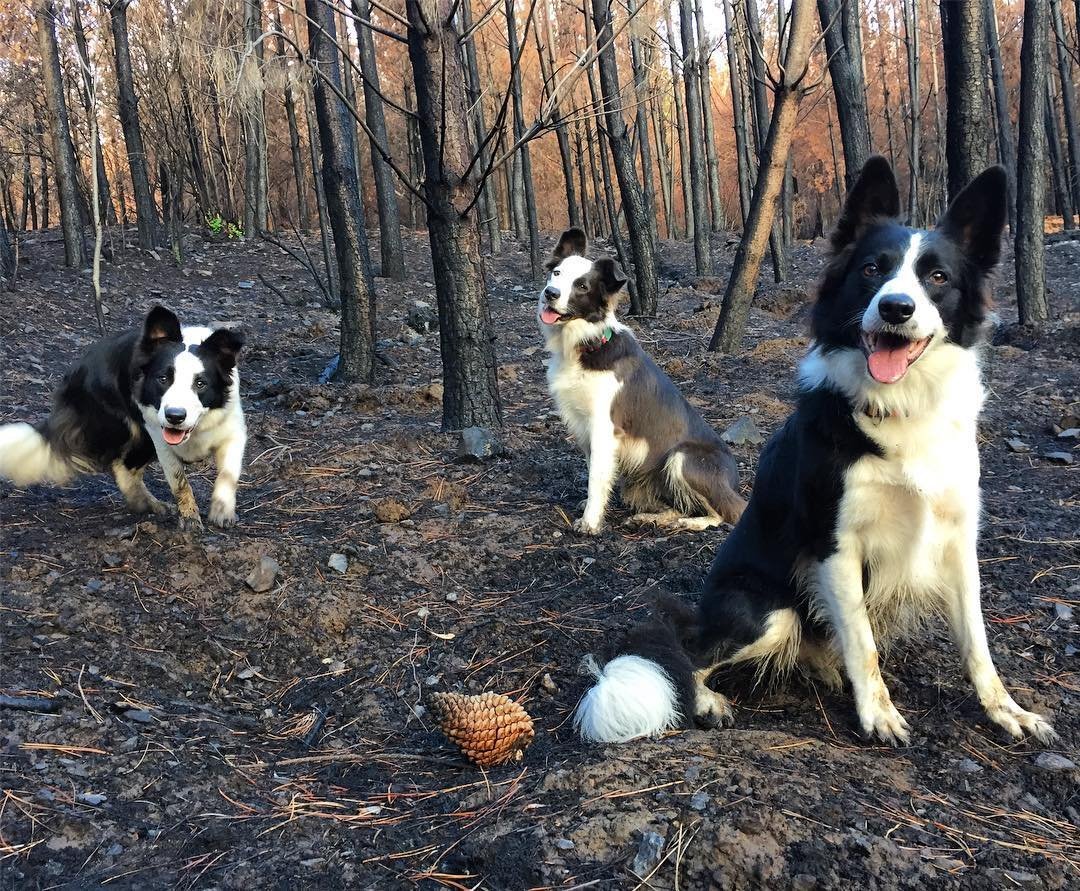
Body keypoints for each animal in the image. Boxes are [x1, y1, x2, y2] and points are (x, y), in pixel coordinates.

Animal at [0, 306, 247, 529]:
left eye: (200, 383)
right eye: (163, 379)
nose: (175, 416)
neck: (194, 429)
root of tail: (76, 372)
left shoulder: (233, 433)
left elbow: (228, 474)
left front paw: (222, 510)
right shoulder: (160, 439)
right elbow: (179, 481)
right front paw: (189, 517)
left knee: (127, 466)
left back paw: (146, 503)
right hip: (129, 428)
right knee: (121, 465)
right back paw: (146, 503)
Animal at [537, 231, 743, 535]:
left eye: (582, 286)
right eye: (556, 273)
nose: (550, 294)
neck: (587, 345)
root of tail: (734, 478)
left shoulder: (604, 427)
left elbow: (596, 477)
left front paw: (590, 522)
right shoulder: (583, 425)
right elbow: (595, 471)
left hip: (681, 457)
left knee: (727, 512)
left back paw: (690, 522)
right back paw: (652, 517)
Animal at [574, 157, 1054, 743]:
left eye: (938, 277)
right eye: (872, 269)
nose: (896, 308)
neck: (900, 408)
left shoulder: (959, 539)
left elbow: (977, 642)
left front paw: (1006, 709)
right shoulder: (836, 544)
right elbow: (864, 644)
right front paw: (879, 714)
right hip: (768, 609)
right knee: (689, 657)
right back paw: (709, 699)